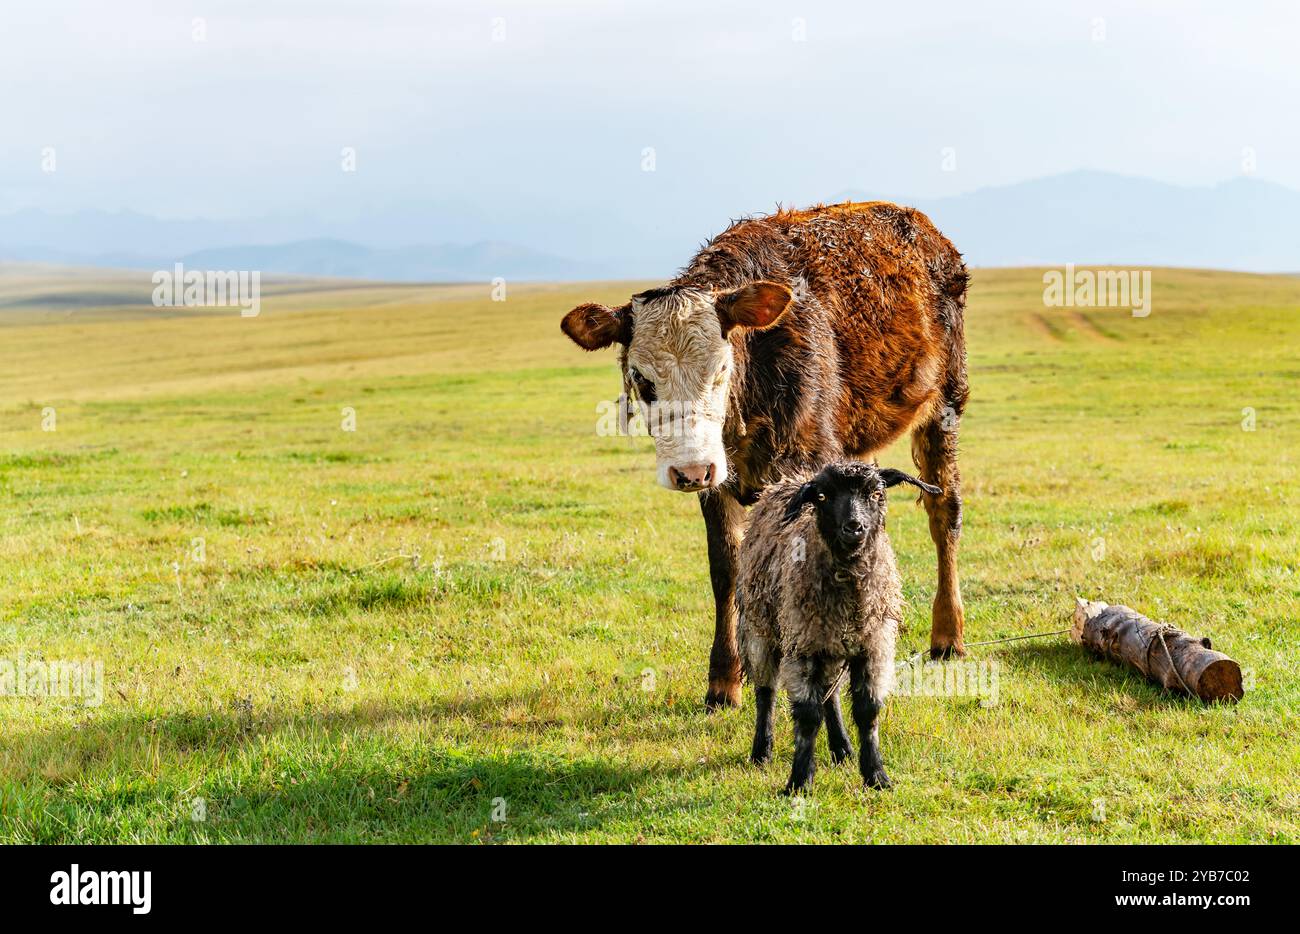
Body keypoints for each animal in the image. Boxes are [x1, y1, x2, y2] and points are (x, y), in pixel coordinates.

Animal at [736, 461, 940, 794]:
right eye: (823, 496)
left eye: (876, 493)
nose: (854, 527)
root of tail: (790, 479)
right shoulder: (802, 645)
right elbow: (807, 716)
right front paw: (799, 781)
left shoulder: (873, 646)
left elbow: (867, 711)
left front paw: (876, 776)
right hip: (761, 628)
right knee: (766, 691)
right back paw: (761, 751)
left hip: (830, 643)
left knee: (829, 695)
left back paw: (842, 748)